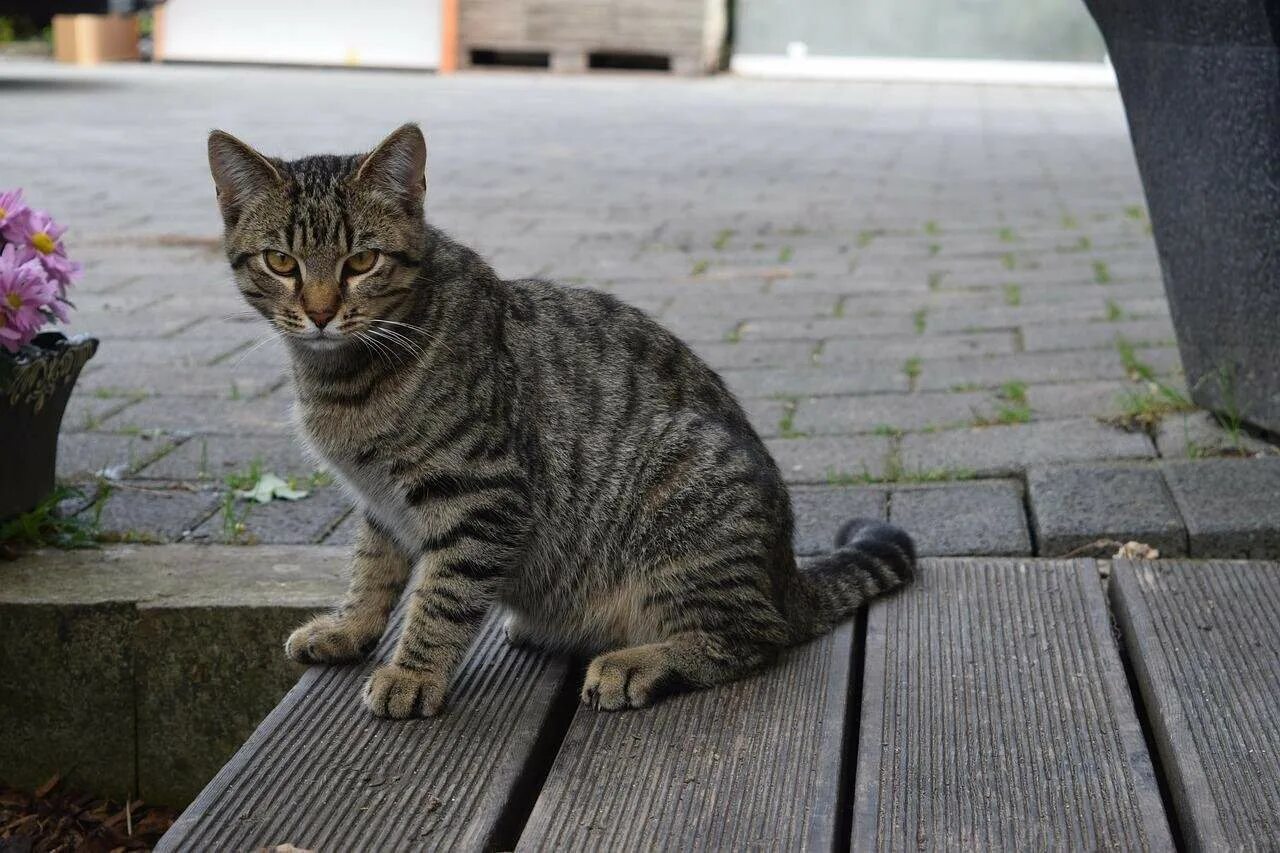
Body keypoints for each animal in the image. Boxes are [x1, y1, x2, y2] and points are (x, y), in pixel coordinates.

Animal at [204, 122, 916, 712]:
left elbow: (440, 598)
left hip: (689, 503)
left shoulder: (482, 496)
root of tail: (788, 573)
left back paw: (638, 663)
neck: (342, 380)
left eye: (361, 261)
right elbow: (372, 573)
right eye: (282, 262)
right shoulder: (380, 503)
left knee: (752, 637)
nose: (321, 312)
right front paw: (350, 628)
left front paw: (413, 673)